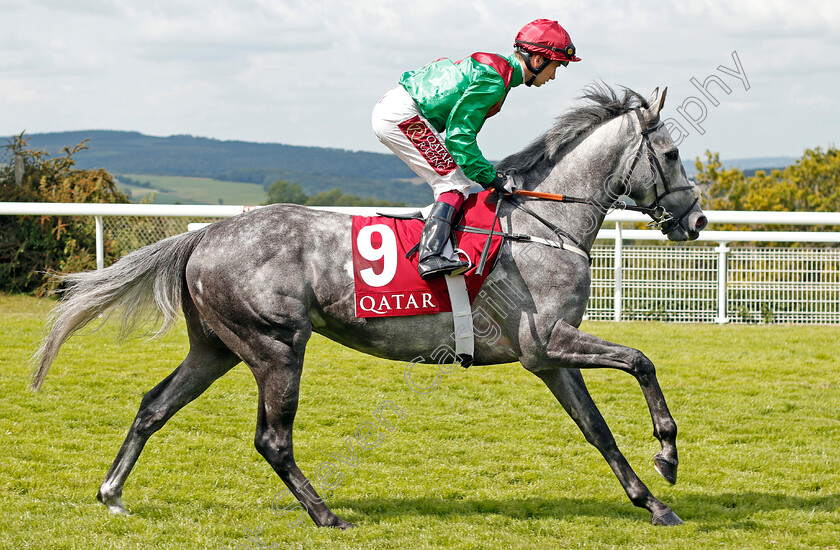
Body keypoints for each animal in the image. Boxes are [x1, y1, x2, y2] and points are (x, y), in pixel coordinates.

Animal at [29, 85, 704, 532]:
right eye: (671, 155)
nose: (695, 220)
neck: (543, 225)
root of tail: (205, 235)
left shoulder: (548, 357)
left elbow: (597, 429)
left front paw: (653, 502)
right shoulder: (549, 341)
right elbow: (641, 361)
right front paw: (668, 454)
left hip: (217, 348)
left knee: (153, 407)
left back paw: (112, 492)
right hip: (276, 346)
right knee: (272, 438)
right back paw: (325, 513)